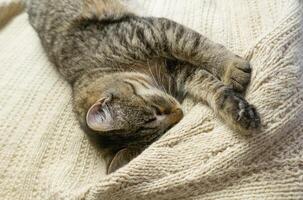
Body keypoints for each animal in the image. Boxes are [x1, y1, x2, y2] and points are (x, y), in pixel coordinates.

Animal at [25, 0, 262, 173]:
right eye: (162, 133)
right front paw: (236, 110)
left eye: (155, 111)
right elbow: (210, 86)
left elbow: (196, 45)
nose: (179, 113)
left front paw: (229, 67)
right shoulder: (178, 70)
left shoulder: (152, 32)